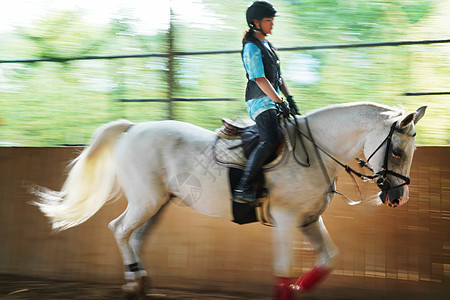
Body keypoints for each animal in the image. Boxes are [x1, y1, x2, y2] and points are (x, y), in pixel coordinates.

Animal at [33, 102, 424, 298]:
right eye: (398, 151)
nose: (398, 198)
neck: (315, 152)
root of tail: (133, 128)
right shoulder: (286, 219)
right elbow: (282, 272)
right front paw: (291, 287)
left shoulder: (309, 220)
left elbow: (329, 259)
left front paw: (302, 285)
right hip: (146, 200)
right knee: (118, 229)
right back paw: (132, 280)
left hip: (158, 204)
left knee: (135, 236)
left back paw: (140, 279)